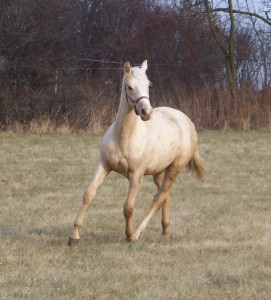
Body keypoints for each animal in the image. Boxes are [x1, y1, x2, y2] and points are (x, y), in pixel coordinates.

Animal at [68, 59, 206, 245]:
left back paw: (138, 233)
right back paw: (166, 230)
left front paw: (129, 235)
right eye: (130, 87)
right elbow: (88, 194)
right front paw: (74, 237)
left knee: (158, 198)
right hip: (159, 172)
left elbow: (128, 207)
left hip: (175, 168)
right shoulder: (103, 166)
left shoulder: (136, 175)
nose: (146, 112)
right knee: (164, 196)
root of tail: (186, 121)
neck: (124, 137)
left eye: (148, 85)